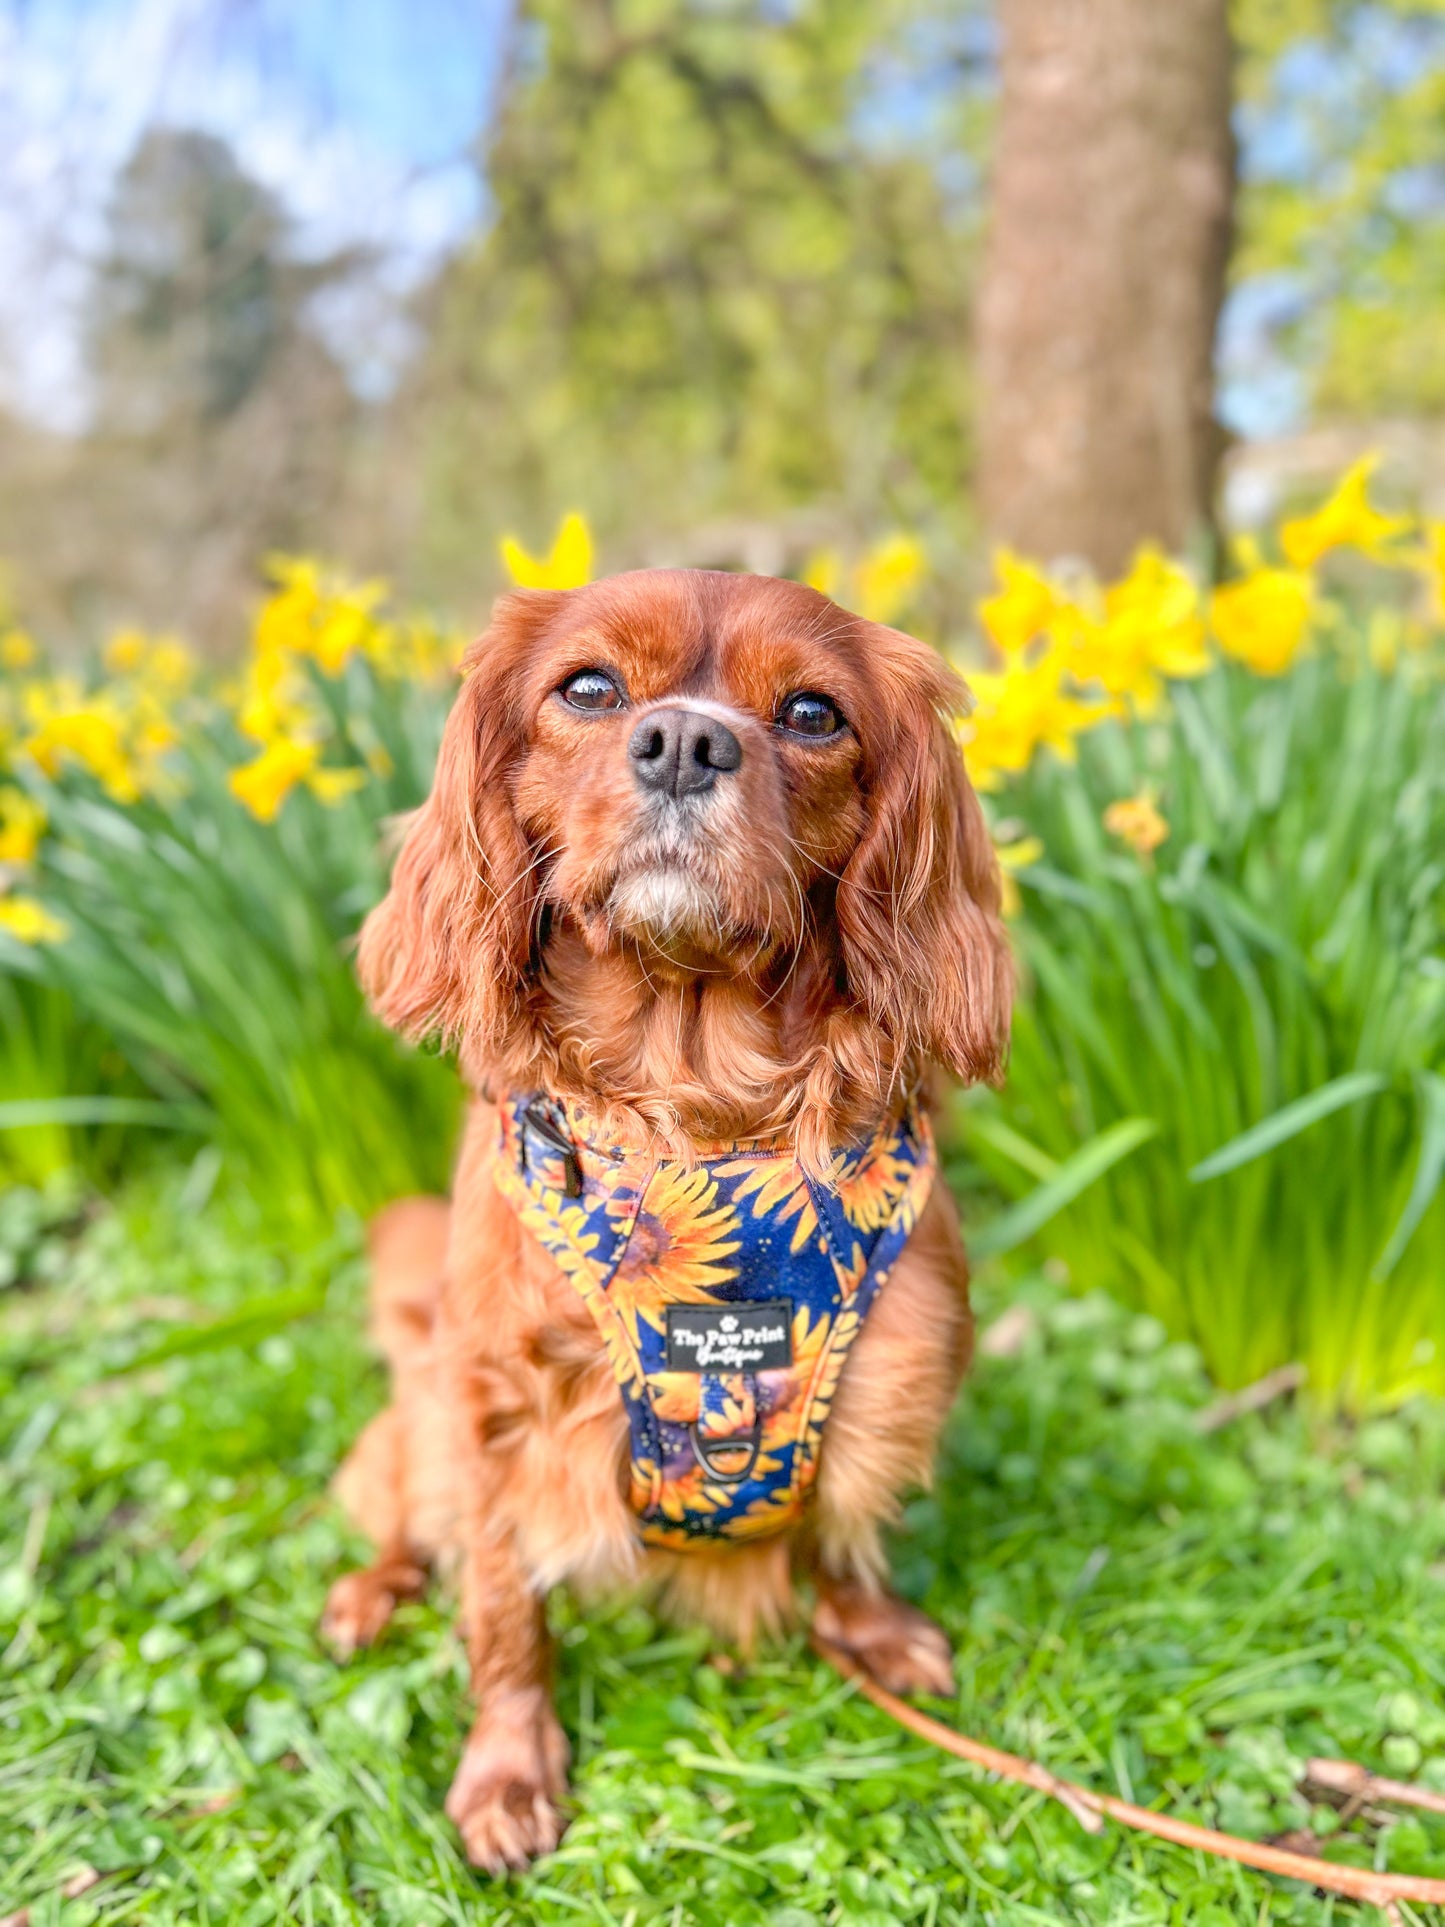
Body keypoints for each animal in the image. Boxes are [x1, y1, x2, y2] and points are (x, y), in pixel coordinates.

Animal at [321, 566, 1009, 1865]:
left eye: (811, 713)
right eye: (588, 688)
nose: (685, 741)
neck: (696, 1110)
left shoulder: (889, 1364)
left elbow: (844, 1524)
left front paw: (866, 1624)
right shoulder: (497, 1419)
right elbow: (502, 1608)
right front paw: (506, 1772)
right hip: (420, 1424)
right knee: (400, 1513)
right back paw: (369, 1593)